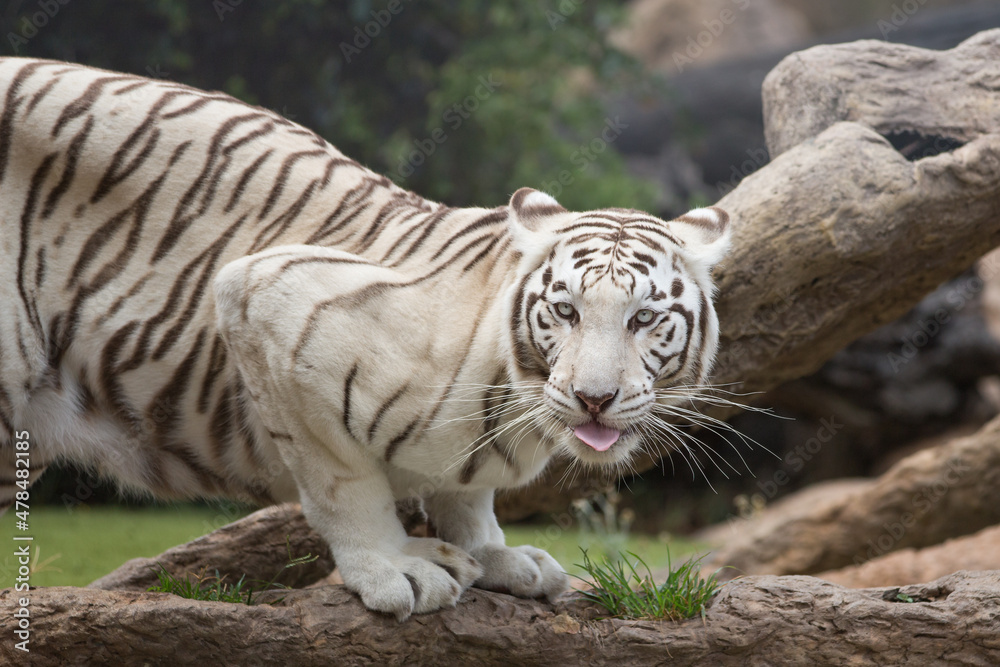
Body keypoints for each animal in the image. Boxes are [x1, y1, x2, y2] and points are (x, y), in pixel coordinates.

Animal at [0, 57, 731, 620]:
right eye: (565, 310)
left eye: (643, 318)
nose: (593, 399)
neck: (512, 410)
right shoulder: (261, 296)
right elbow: (343, 481)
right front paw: (395, 568)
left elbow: (467, 494)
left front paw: (497, 556)